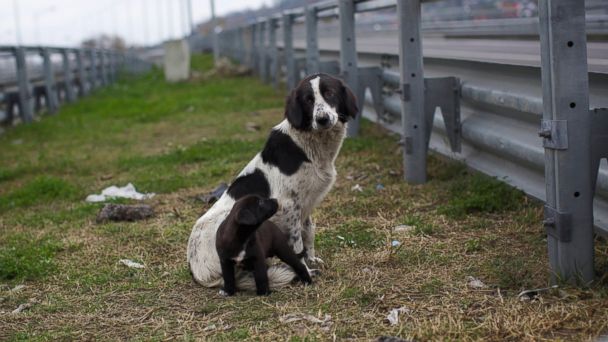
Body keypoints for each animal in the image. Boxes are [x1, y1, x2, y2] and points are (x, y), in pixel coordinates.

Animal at [185, 73, 356, 290]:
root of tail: (198, 272)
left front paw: (312, 260)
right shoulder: (289, 206)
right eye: (308, 100)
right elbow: (297, 244)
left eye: (330, 93)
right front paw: (305, 271)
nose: (322, 119)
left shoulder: (306, 203)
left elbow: (308, 233)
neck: (308, 145)